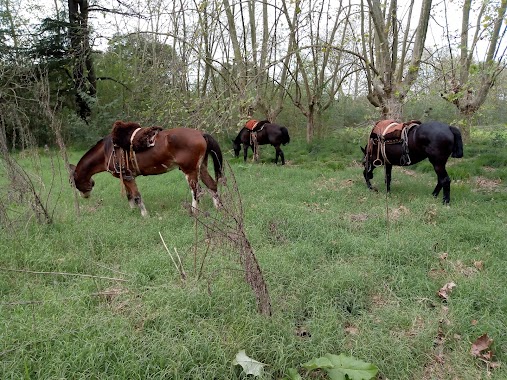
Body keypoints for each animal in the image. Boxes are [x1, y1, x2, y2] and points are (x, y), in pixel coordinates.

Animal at [70, 127, 224, 217]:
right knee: (212, 185)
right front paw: (132, 211)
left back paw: (193, 212)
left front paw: (144, 215)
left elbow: (137, 196)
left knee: (197, 191)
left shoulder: (128, 176)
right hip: (201, 168)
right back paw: (218, 208)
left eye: (74, 183)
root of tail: (200, 134)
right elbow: (129, 195)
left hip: (190, 171)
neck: (106, 151)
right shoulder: (125, 178)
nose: (84, 196)